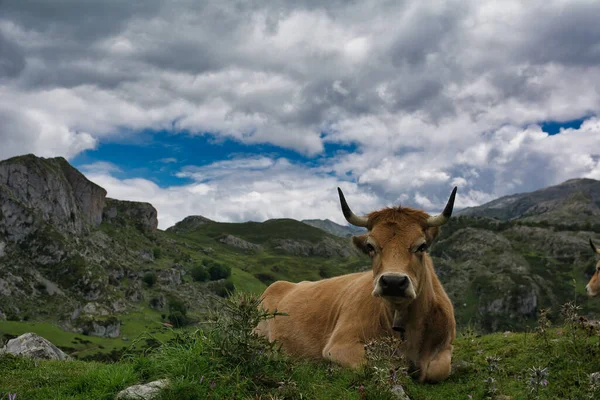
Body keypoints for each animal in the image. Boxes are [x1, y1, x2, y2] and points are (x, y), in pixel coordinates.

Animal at [254, 186, 460, 382]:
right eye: (370, 246)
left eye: (422, 246)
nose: (393, 282)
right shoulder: (341, 344)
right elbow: (381, 365)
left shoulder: (446, 347)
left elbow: (439, 370)